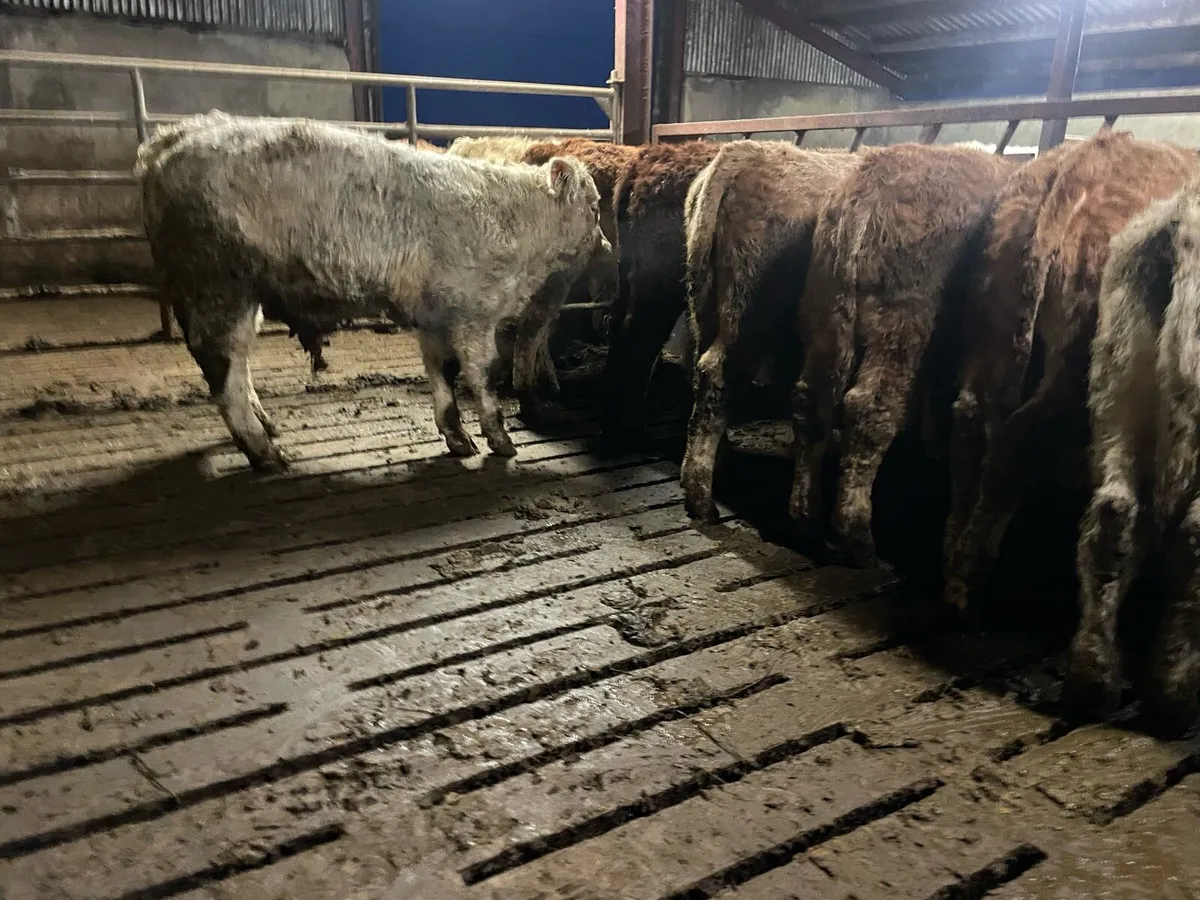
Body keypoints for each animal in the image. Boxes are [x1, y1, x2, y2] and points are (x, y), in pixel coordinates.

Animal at [137, 112, 609, 470]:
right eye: (595, 206)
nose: (606, 245)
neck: (512, 218)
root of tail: (170, 139)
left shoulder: (435, 318)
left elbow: (442, 373)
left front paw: (456, 436)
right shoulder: (473, 315)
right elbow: (480, 376)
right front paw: (500, 439)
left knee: (236, 367)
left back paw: (266, 426)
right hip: (220, 288)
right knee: (224, 370)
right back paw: (265, 451)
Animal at [790, 142, 1017, 567]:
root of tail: (865, 193)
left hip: (826, 305)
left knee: (811, 400)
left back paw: (805, 514)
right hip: (902, 316)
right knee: (870, 407)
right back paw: (857, 536)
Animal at [943, 132, 1196, 617]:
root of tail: (1081, 162)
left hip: (994, 320)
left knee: (972, 422)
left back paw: (953, 555)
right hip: (1073, 362)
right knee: (1021, 440)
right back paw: (969, 579)